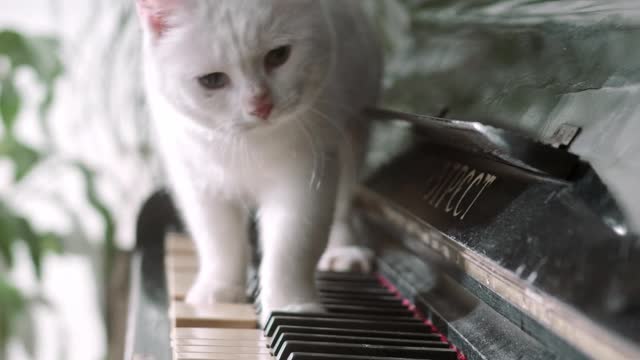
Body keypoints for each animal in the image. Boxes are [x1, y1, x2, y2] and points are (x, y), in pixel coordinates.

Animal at [136, 0, 380, 322]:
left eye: (278, 56)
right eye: (212, 81)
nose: (260, 105)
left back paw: (343, 251)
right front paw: (219, 290)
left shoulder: (303, 181)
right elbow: (218, 241)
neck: (248, 145)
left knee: (342, 205)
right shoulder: (198, 184)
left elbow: (292, 248)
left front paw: (291, 307)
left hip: (354, 134)